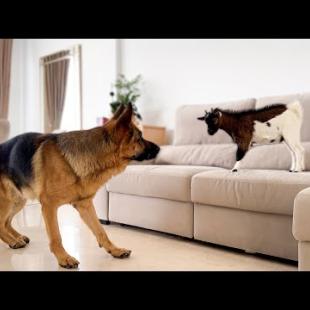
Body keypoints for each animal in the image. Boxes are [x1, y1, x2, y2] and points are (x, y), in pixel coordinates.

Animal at [0, 104, 160, 268]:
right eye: (139, 138)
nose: (160, 148)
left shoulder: (84, 205)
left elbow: (101, 230)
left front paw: (115, 250)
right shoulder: (49, 206)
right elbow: (56, 237)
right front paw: (64, 258)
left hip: (18, 200)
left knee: (6, 222)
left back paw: (18, 237)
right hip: (7, 201)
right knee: (1, 223)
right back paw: (13, 241)